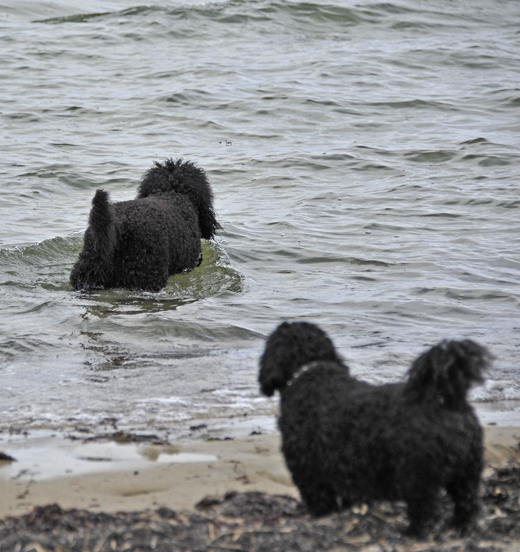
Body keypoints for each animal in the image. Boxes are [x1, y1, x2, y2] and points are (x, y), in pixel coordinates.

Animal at [260, 322, 492, 536]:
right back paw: (461, 528)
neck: (311, 373)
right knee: (467, 505)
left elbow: (320, 502)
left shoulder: (309, 473)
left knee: (425, 509)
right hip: (467, 473)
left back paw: (413, 533)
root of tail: (447, 402)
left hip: (418, 474)